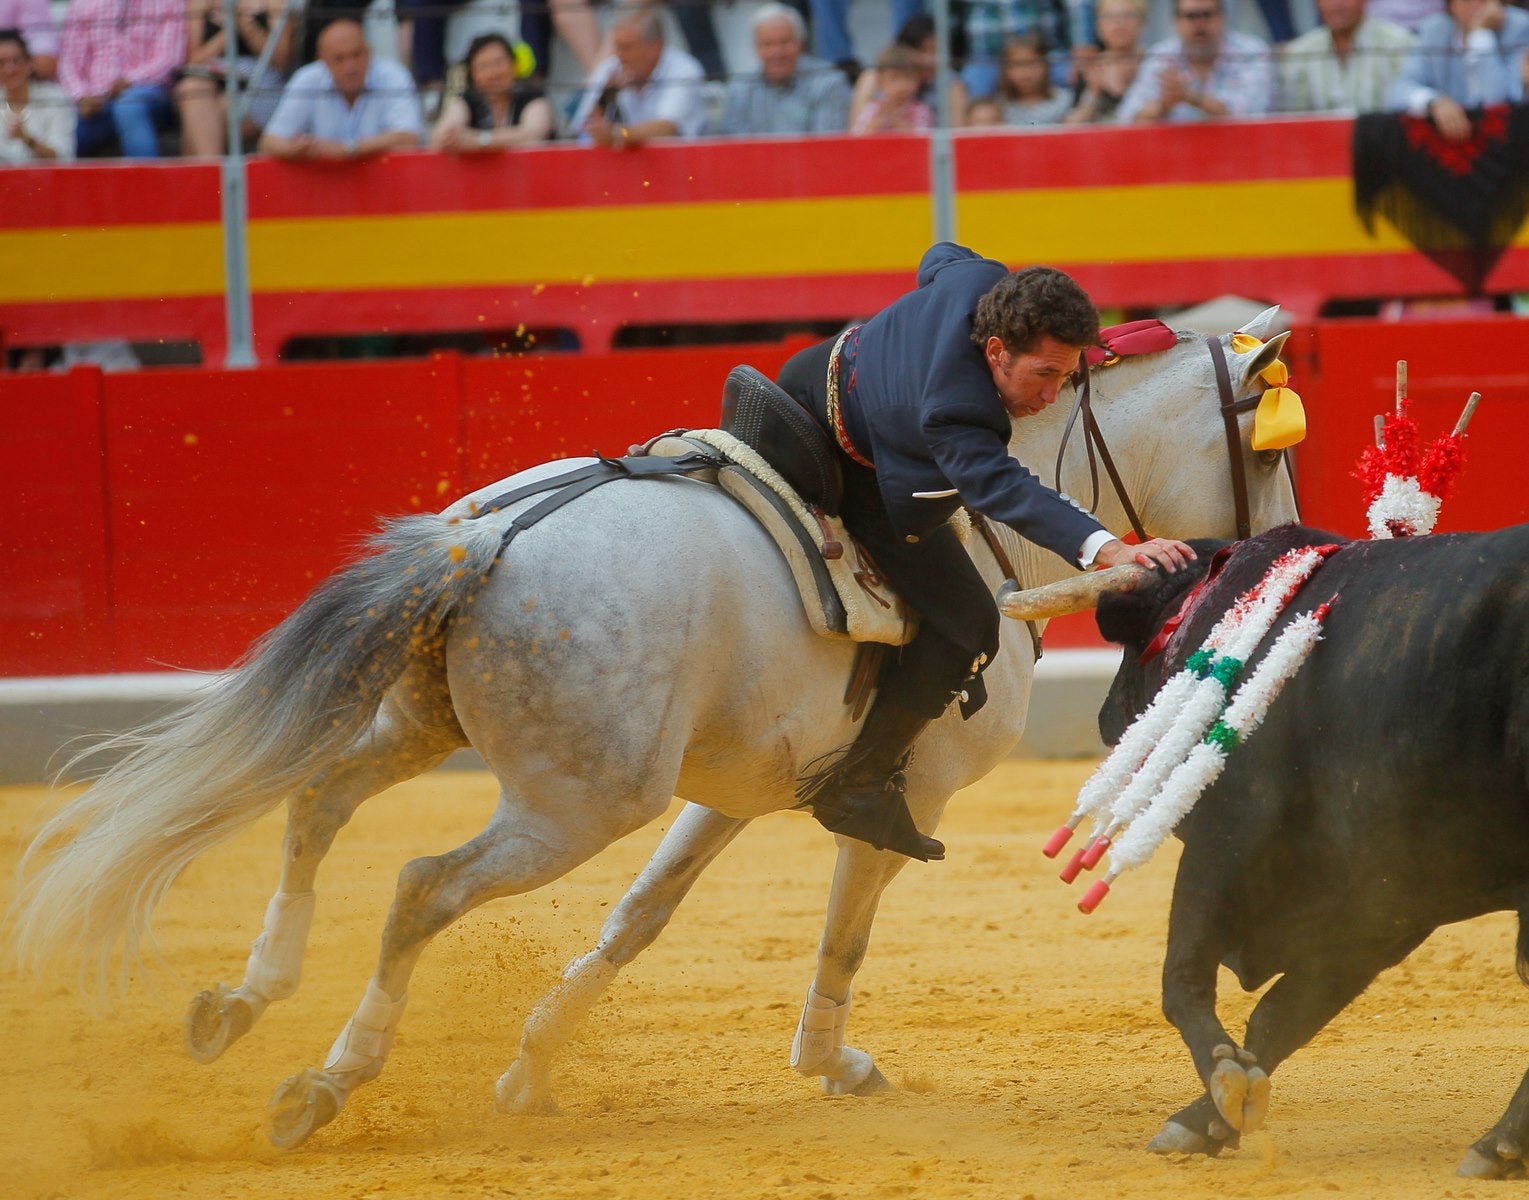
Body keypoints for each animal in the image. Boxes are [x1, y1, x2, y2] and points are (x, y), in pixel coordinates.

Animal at [11, 313, 1302, 1149]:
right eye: (1266, 455)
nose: (1288, 541)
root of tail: (482, 540)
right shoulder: (903, 794)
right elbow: (845, 931)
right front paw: (830, 1061)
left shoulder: (735, 786)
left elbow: (643, 915)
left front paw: (533, 1063)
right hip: (577, 798)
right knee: (422, 885)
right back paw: (327, 1079)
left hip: (428, 725)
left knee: (318, 802)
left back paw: (240, 1001)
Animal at [1094, 519, 1522, 1174]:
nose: (1104, 717)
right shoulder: (1382, 898)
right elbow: (1286, 1012)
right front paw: (1208, 1118)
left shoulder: (1227, 834)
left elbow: (1185, 974)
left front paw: (1219, 1092)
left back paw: (1497, 1144)